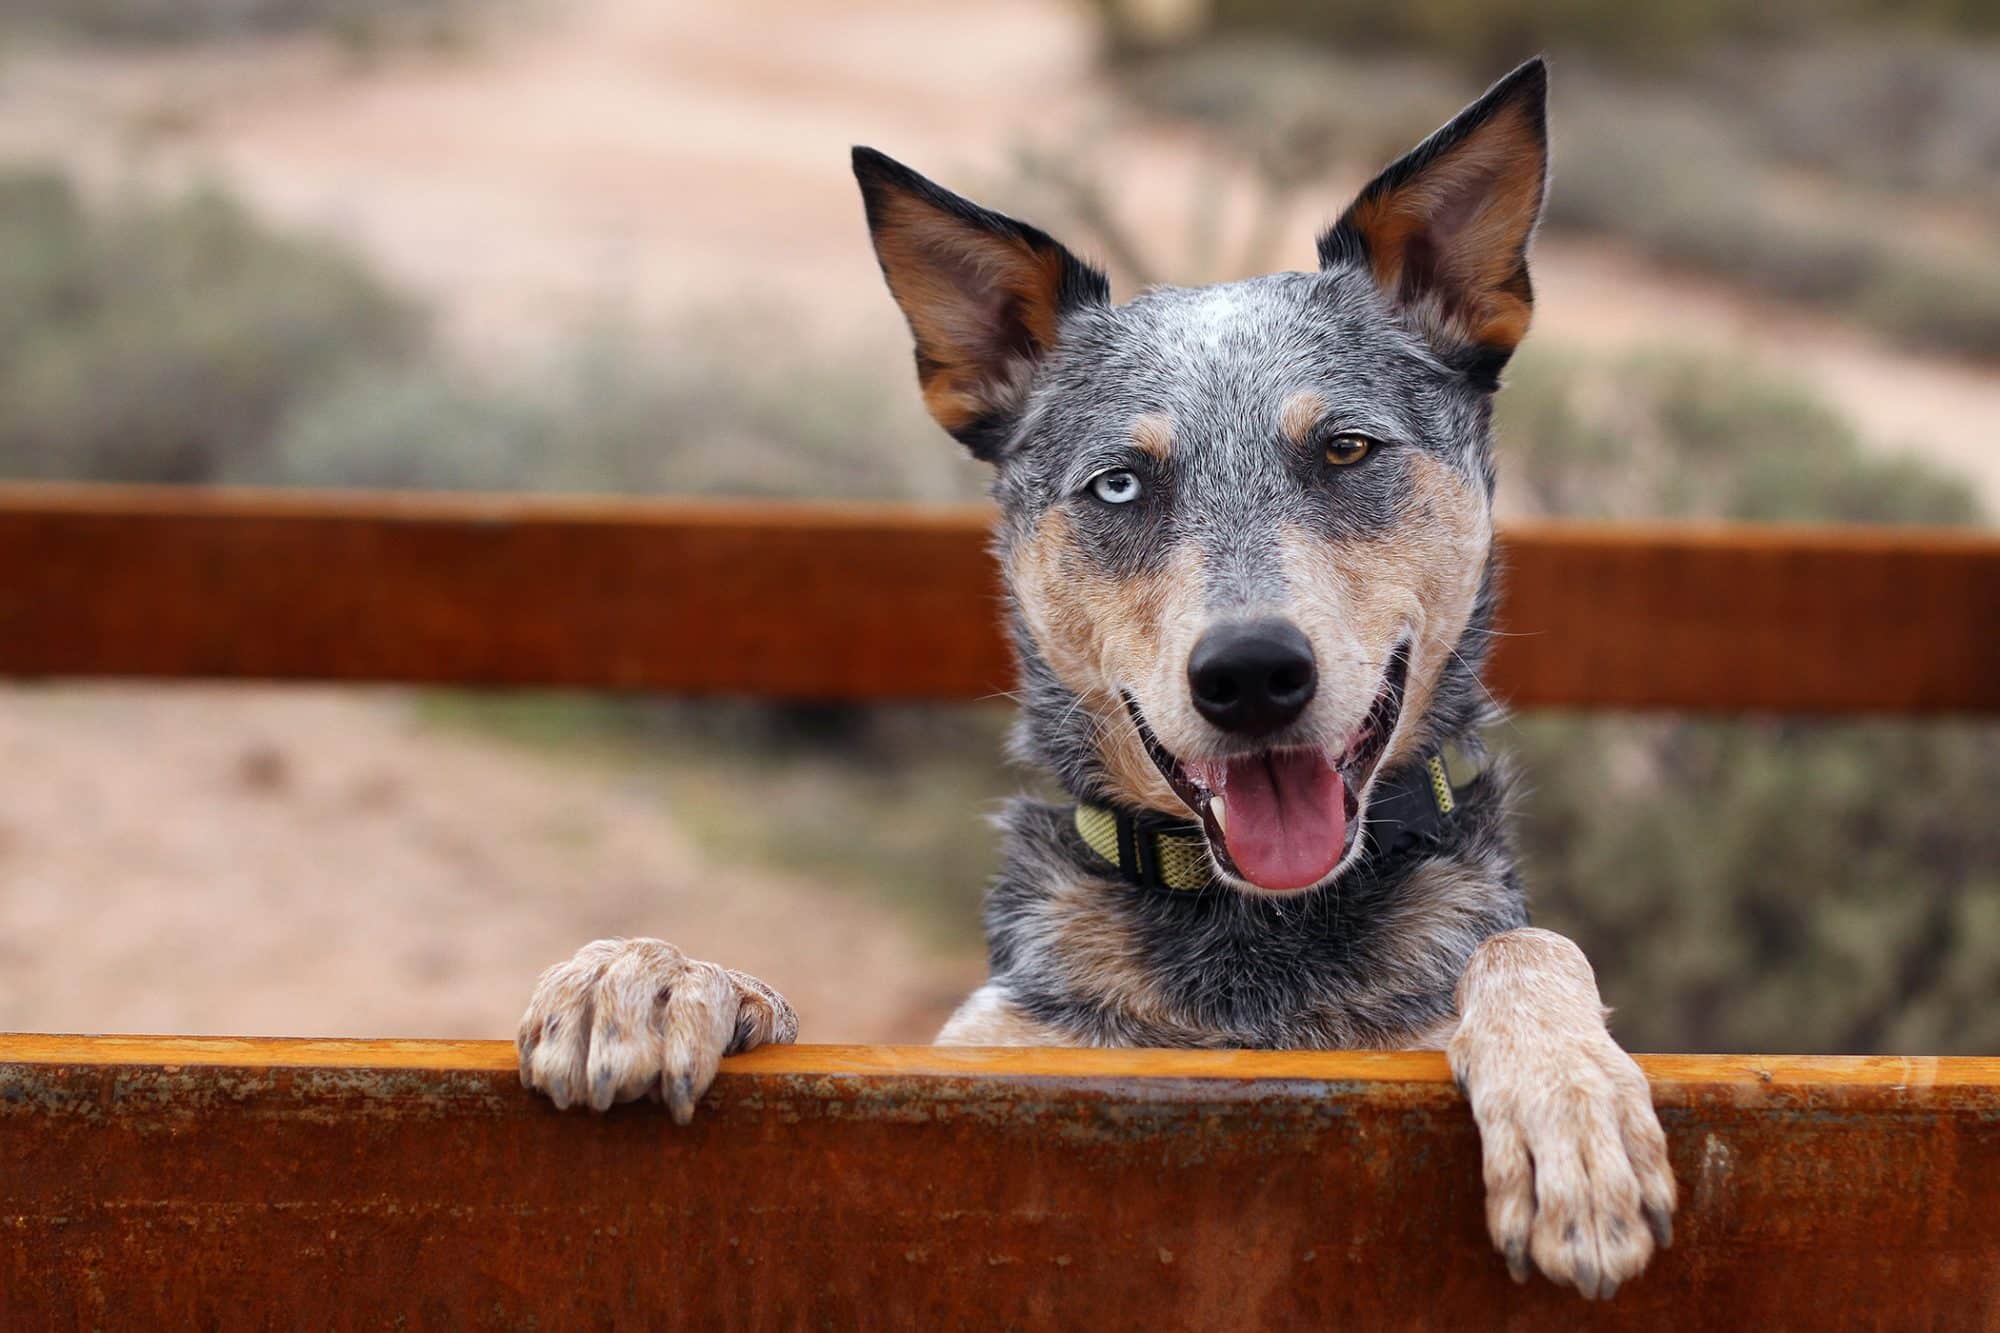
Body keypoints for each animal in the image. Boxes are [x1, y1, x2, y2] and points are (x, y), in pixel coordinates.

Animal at [512, 59, 1672, 1296]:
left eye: (1345, 449)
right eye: (1119, 484)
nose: (1250, 674)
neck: (1247, 943)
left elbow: (1527, 943)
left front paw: (1571, 1102)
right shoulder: (983, 1049)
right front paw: (652, 975)